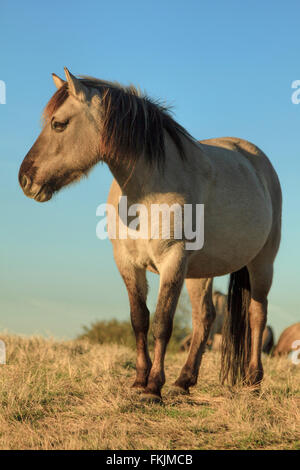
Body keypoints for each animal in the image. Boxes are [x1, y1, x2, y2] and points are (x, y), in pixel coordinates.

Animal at [18, 69, 282, 400]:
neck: (146, 192)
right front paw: (139, 381)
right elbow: (139, 320)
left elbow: (162, 322)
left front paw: (154, 387)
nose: (25, 180)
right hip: (200, 273)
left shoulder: (173, 260)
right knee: (204, 319)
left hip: (262, 263)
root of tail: (257, 160)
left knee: (257, 315)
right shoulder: (127, 263)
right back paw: (184, 381)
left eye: (59, 124)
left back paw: (253, 380)